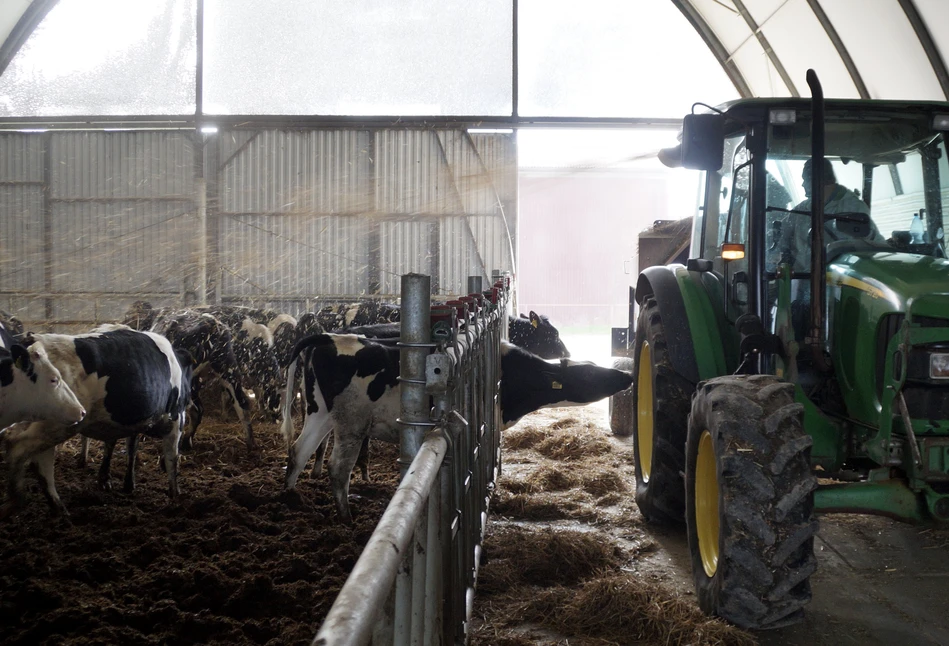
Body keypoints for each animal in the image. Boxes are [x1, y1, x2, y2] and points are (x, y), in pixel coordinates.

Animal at [0, 326, 193, 520]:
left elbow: (127, 446)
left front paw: (123, 482)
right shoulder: (176, 418)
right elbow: (172, 458)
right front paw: (175, 496)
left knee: (35, 457)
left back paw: (58, 508)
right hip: (56, 425)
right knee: (20, 448)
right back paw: (17, 499)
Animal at [282, 336, 632, 524]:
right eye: (588, 374)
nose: (626, 376)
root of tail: (327, 337)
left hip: (319, 412)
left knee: (298, 450)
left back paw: (289, 498)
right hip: (351, 422)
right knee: (337, 468)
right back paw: (346, 517)